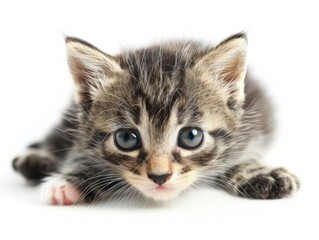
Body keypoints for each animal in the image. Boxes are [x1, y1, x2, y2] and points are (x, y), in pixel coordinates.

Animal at [11, 33, 300, 204]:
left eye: (191, 137)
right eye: (126, 138)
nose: (159, 177)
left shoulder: (255, 124)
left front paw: (259, 172)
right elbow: (80, 152)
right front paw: (69, 182)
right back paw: (35, 159)